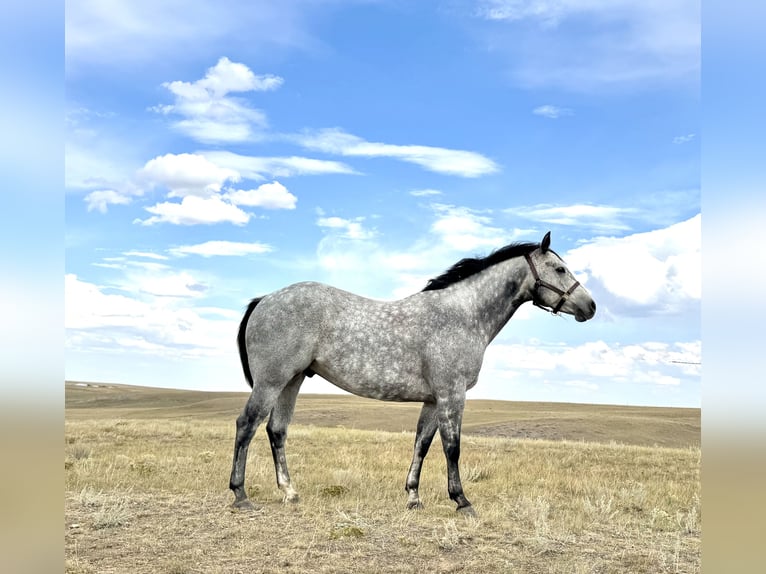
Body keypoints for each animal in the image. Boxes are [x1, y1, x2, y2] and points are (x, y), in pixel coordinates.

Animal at [229, 231, 596, 515]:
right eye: (560, 268)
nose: (590, 306)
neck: (463, 314)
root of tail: (265, 299)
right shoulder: (451, 394)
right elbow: (452, 447)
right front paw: (461, 501)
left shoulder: (434, 400)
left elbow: (422, 443)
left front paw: (413, 497)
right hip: (271, 382)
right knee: (247, 425)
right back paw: (240, 495)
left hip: (291, 381)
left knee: (277, 430)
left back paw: (290, 492)